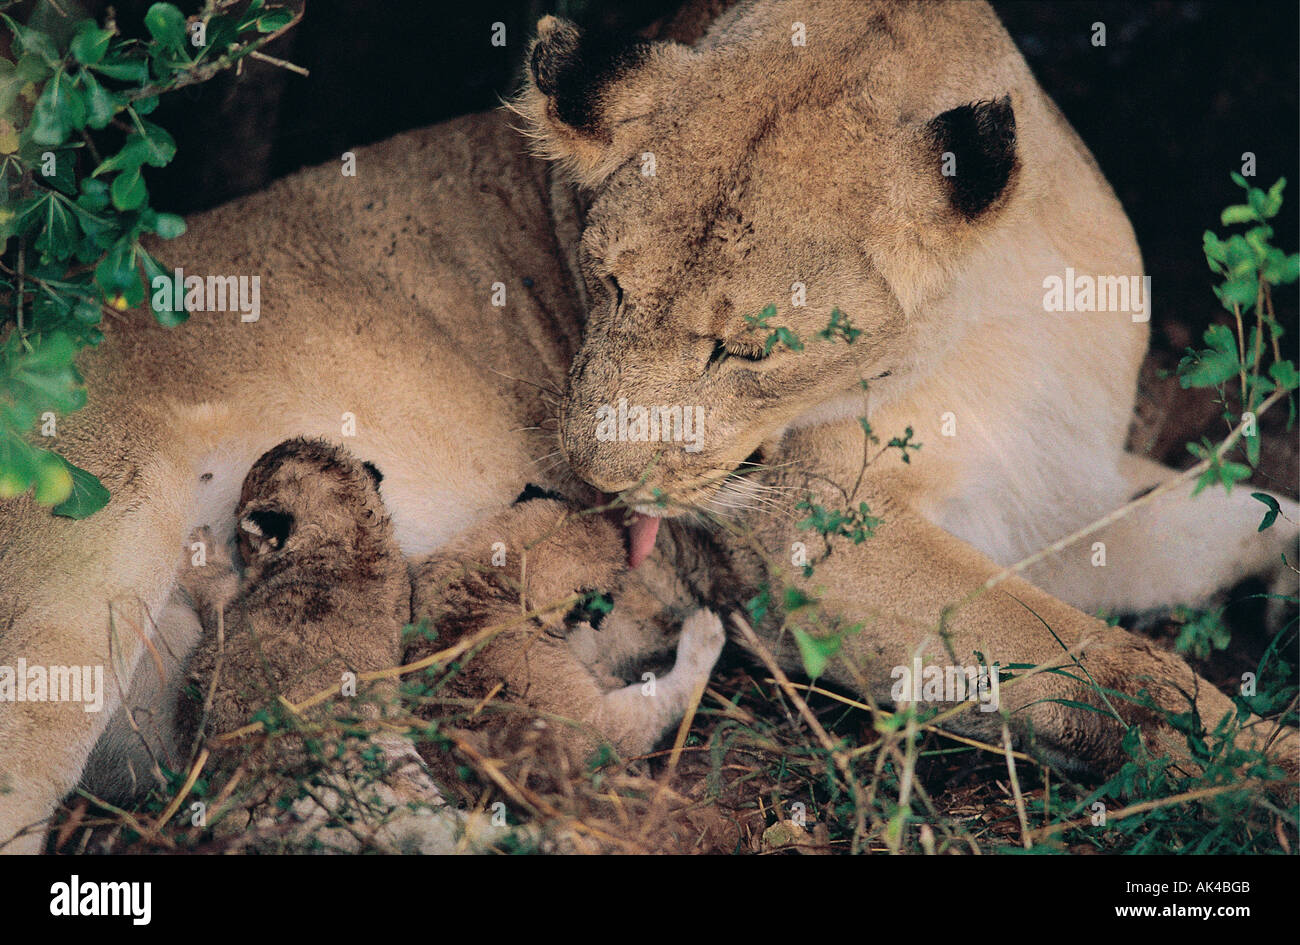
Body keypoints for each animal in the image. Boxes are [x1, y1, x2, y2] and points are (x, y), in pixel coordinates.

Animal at [1, 0, 1295, 852]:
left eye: (748, 349)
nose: (592, 483)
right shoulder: (810, 549)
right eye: (606, 281)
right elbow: (1126, 669)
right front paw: (1262, 774)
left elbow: (1228, 518)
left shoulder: (1057, 502)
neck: (995, 324)